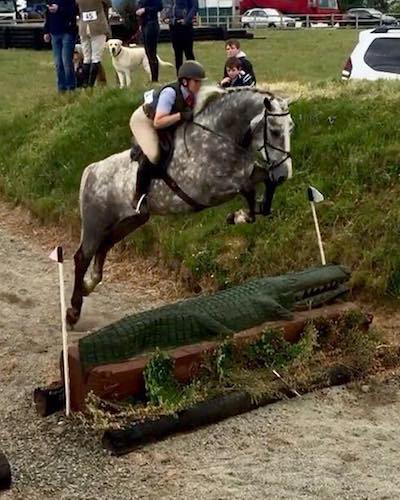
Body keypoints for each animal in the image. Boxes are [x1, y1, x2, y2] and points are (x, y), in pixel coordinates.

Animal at [66, 88, 294, 326]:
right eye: (275, 131)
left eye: (291, 128)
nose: (284, 175)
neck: (220, 136)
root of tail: (91, 170)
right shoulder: (209, 190)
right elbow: (248, 189)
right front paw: (239, 215)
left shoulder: (248, 173)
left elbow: (264, 181)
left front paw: (254, 209)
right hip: (96, 223)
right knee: (82, 256)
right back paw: (73, 310)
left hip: (130, 221)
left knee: (103, 247)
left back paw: (88, 286)